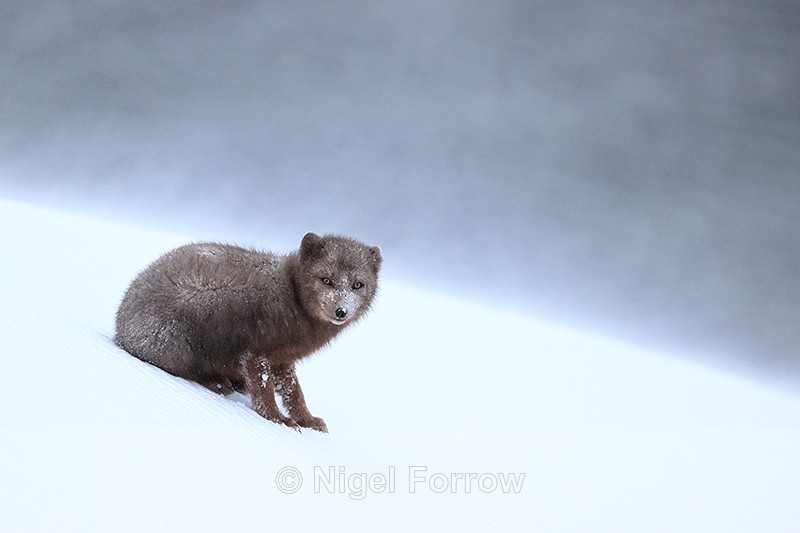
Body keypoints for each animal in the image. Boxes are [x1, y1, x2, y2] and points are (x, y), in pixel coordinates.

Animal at [114, 232, 382, 433]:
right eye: (326, 280)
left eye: (357, 285)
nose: (341, 311)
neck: (292, 297)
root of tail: (119, 329)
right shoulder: (256, 351)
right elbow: (264, 391)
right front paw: (278, 420)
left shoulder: (283, 359)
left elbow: (294, 393)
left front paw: (308, 420)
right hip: (185, 333)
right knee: (190, 370)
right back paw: (218, 382)